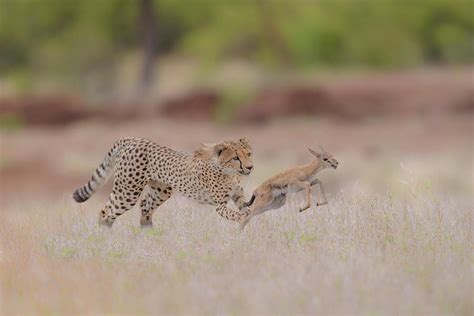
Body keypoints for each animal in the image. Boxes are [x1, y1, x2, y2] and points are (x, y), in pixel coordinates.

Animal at [72, 136, 254, 227]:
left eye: (249, 154)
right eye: (236, 158)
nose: (250, 167)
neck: (230, 173)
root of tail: (133, 139)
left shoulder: (238, 197)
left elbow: (246, 205)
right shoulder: (219, 205)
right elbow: (234, 213)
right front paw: (244, 218)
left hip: (161, 191)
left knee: (145, 208)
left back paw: (150, 238)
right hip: (128, 191)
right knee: (106, 212)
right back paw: (104, 237)